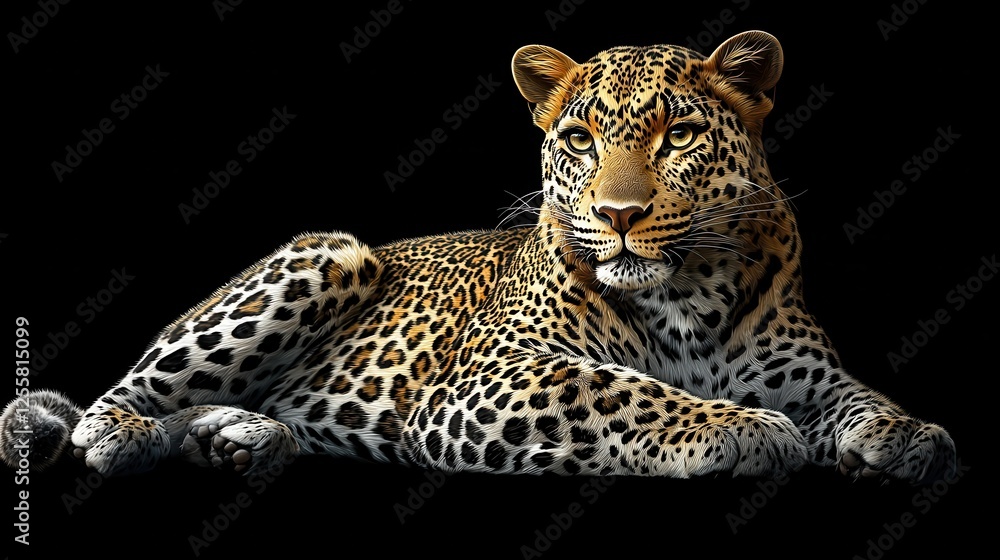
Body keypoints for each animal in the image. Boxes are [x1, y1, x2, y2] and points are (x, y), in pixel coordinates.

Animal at [2, 31, 955, 484]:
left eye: (679, 134)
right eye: (579, 138)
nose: (617, 215)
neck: (690, 291)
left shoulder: (806, 372)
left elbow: (859, 397)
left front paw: (911, 438)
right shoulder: (495, 375)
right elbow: (628, 393)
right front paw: (741, 428)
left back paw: (241, 438)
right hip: (330, 256)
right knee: (112, 401)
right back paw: (130, 435)